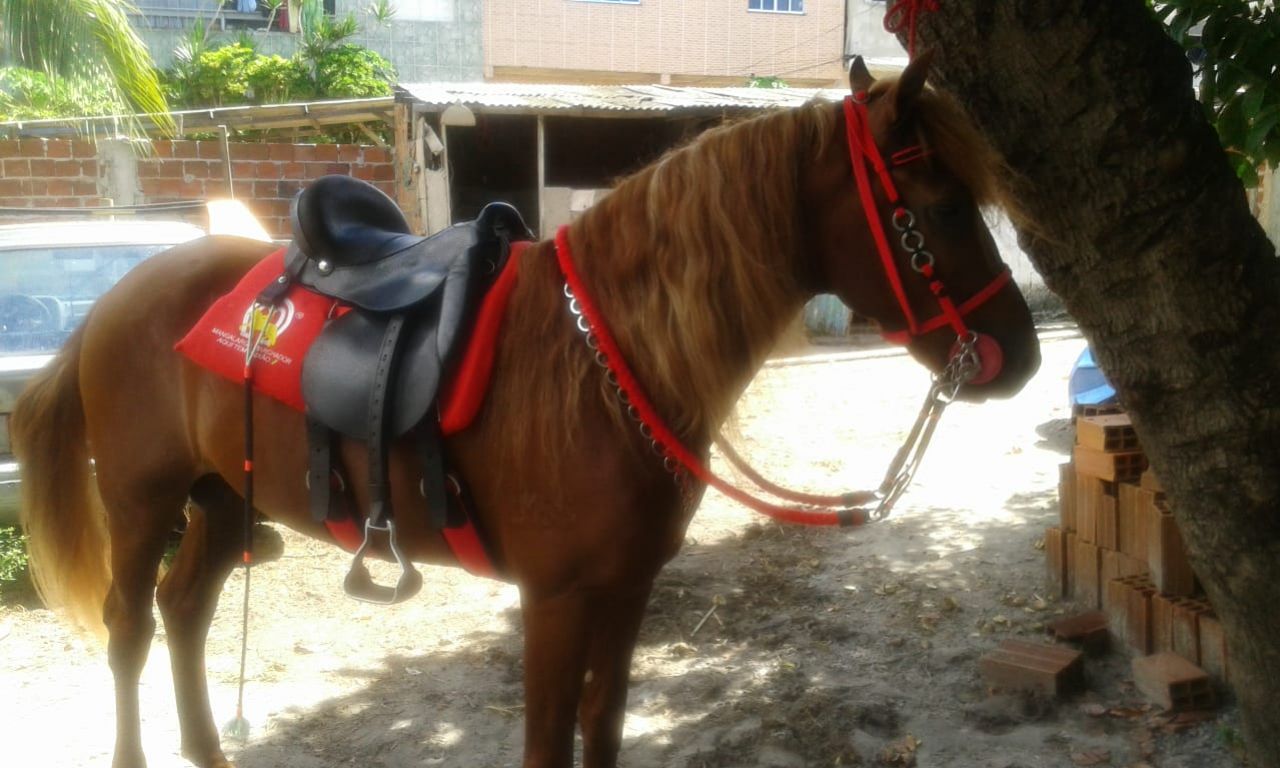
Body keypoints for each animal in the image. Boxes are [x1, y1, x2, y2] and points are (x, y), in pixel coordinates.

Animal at [10, 55, 1040, 768]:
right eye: (944, 207)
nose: (1018, 353)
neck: (606, 360)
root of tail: (116, 297)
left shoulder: (626, 593)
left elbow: (603, 729)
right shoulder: (554, 600)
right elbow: (549, 744)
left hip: (225, 497)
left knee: (184, 613)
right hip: (142, 501)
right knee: (131, 628)